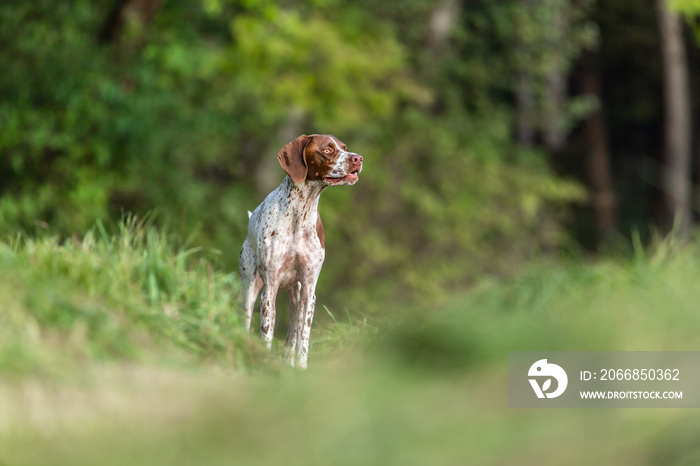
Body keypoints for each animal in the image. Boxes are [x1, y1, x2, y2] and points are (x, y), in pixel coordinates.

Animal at [239, 134, 364, 368]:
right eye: (327, 150)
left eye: (345, 148)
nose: (358, 158)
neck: (301, 213)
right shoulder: (269, 290)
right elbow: (267, 333)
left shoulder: (308, 291)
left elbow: (302, 340)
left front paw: (302, 368)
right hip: (249, 289)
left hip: (296, 296)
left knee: (292, 337)